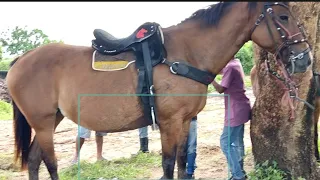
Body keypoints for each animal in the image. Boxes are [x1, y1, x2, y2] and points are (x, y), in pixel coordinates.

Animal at [5, 1, 312, 180]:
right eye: (283, 16)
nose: (305, 58)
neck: (185, 54)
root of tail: (22, 58)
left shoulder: (186, 121)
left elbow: (182, 163)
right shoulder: (169, 121)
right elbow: (167, 165)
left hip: (51, 120)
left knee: (34, 160)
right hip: (43, 122)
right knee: (49, 162)